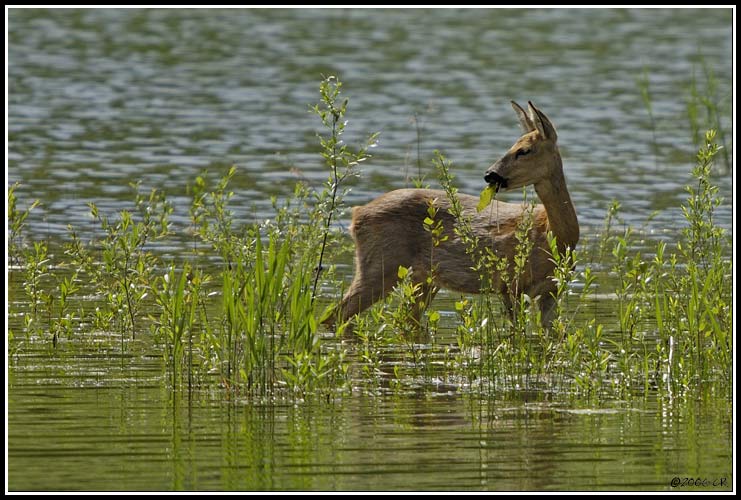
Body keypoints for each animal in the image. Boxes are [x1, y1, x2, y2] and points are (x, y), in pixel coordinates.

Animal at [324, 100, 580, 328]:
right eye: (512, 146)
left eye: (524, 150)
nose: (490, 174)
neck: (553, 235)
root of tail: (357, 214)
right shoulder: (509, 283)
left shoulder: (551, 291)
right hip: (381, 264)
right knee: (335, 316)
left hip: (422, 278)